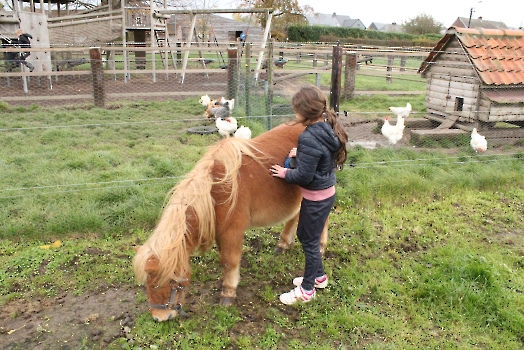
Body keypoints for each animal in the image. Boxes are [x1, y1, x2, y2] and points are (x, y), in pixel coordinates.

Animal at [135, 121, 330, 322]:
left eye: (165, 281)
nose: (159, 317)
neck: (215, 190)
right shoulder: (221, 231)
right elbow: (224, 257)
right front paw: (223, 281)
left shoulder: (232, 230)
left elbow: (229, 260)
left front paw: (228, 292)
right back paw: (283, 244)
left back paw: (320, 247)